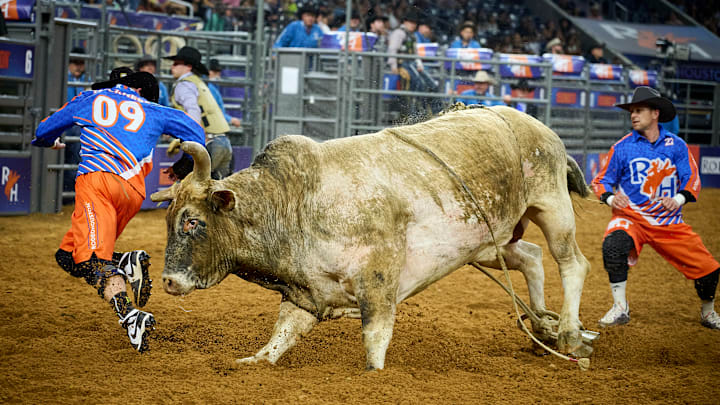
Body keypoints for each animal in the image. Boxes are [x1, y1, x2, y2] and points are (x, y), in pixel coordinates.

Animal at [151, 105, 591, 370]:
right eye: (170, 220)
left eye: (193, 222)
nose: (169, 281)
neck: (296, 202)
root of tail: (537, 126)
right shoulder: (306, 291)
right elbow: (283, 334)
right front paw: (253, 362)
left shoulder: (379, 278)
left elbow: (375, 335)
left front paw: (374, 374)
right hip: (490, 243)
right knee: (531, 256)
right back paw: (541, 326)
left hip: (552, 207)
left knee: (572, 262)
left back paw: (569, 334)